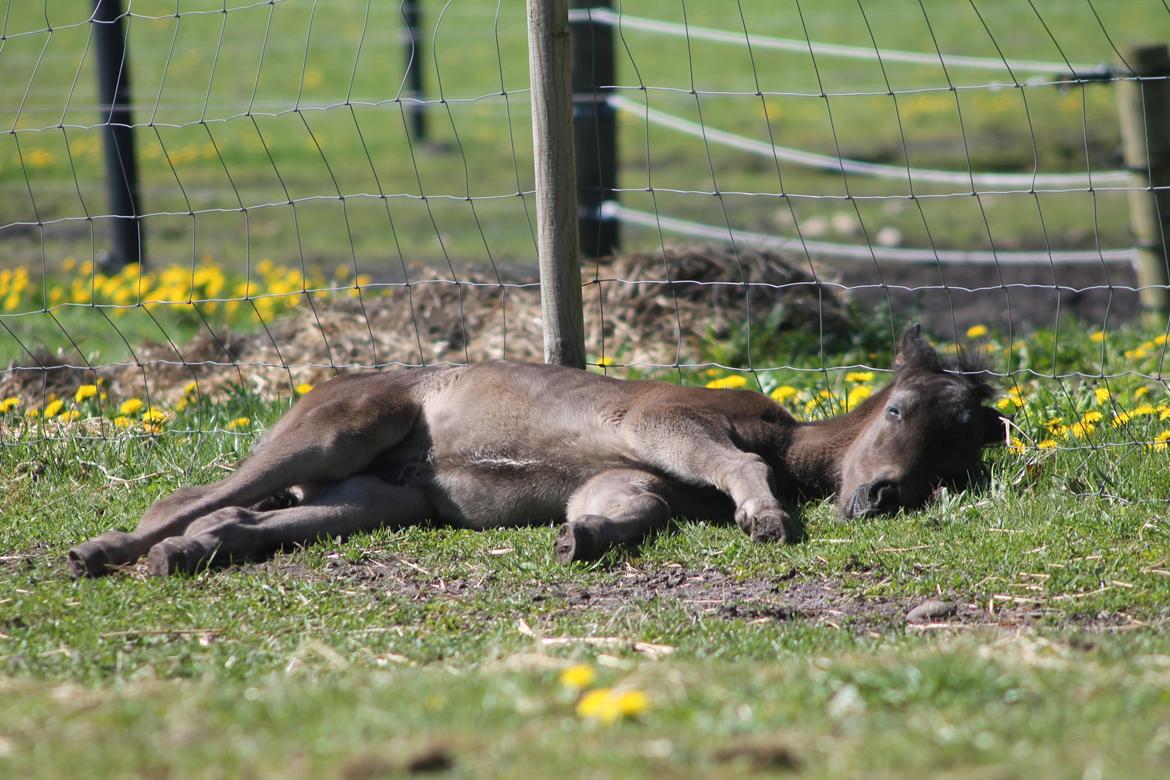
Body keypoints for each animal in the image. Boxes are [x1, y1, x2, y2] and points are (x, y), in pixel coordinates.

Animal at [70, 322, 1006, 573]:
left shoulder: (635, 477)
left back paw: (185, 554)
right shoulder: (664, 422)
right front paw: (770, 520)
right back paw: (99, 550)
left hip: (379, 498)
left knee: (244, 518)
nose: (881, 495)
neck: (788, 440)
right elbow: (736, 467)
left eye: (958, 461)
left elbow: (619, 510)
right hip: (339, 428)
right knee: (190, 497)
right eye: (900, 410)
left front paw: (579, 539)